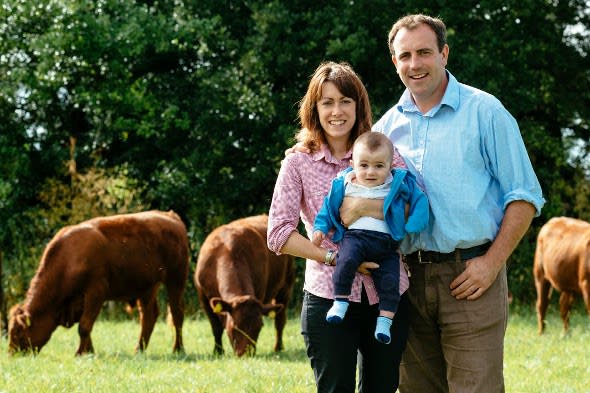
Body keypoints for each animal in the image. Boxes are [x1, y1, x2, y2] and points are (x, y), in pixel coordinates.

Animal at [8, 210, 190, 354]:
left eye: (19, 332)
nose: (12, 354)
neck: (69, 258)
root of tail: (171, 216)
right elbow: (85, 327)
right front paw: (89, 351)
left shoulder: (96, 293)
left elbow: (84, 327)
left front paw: (80, 353)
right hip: (147, 288)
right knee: (148, 316)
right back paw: (139, 350)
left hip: (176, 281)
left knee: (177, 314)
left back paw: (178, 349)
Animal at [195, 214, 294, 356]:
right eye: (234, 327)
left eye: (259, 326)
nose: (246, 354)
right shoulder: (203, 296)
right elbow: (216, 327)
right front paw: (218, 351)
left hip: (286, 286)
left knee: (280, 320)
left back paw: (278, 347)